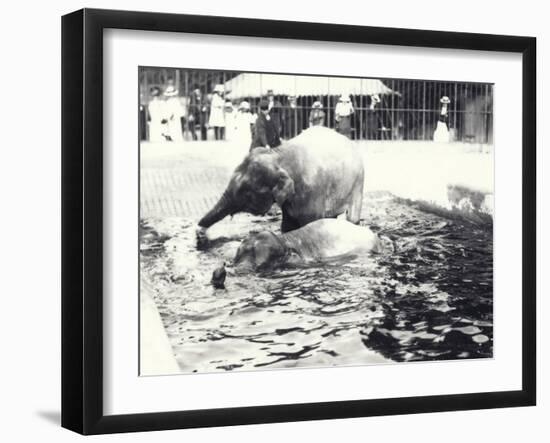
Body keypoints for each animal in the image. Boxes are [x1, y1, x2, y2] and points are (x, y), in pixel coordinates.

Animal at [198, 125, 366, 234]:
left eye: (246, 192)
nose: (199, 230)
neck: (279, 155)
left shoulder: (313, 191)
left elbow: (310, 223)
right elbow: (286, 226)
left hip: (358, 182)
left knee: (352, 217)